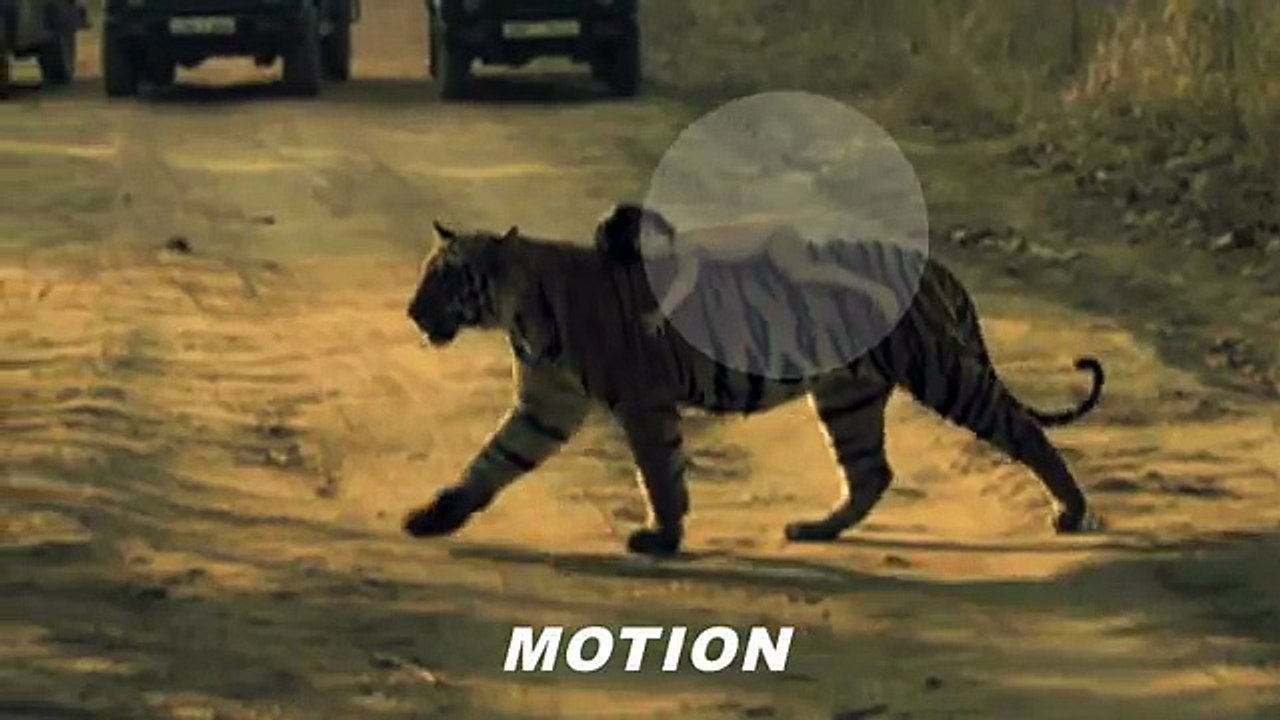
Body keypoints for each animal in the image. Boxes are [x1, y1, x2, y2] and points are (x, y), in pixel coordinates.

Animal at [402, 207, 1105, 557]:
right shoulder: (547, 404)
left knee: (1021, 430)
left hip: (940, 370)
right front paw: (434, 517)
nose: (411, 313)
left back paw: (1071, 511)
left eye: (446, 277)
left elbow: (659, 472)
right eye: (426, 273)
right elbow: (491, 462)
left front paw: (662, 537)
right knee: (871, 471)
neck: (518, 313)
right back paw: (816, 529)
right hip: (847, 395)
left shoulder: (642, 401)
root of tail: (935, 263)